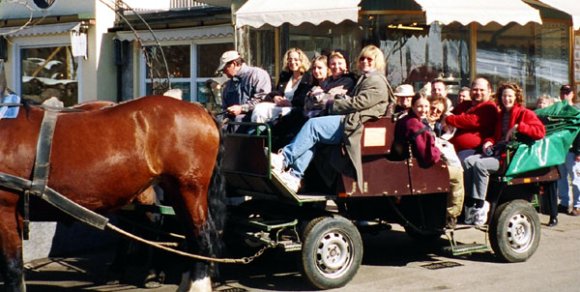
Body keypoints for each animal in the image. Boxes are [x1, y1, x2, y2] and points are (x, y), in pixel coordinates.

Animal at [0, 95, 224, 290]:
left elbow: (12, 269)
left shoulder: (6, 211)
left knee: (200, 237)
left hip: (189, 188)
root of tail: (200, 109)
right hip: (172, 190)